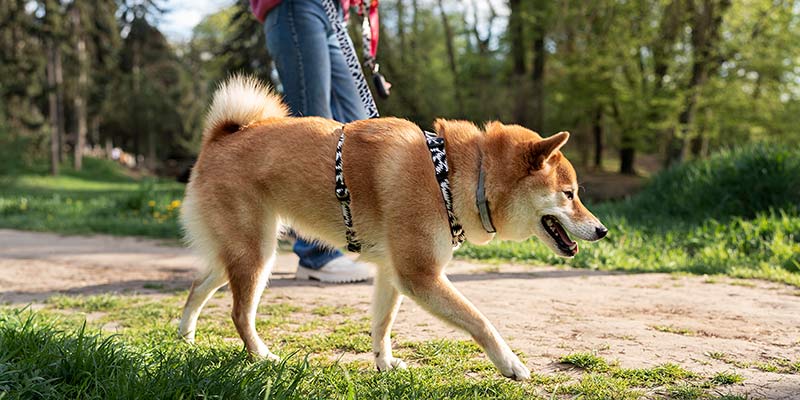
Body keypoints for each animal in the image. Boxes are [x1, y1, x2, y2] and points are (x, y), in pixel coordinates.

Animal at [180, 76, 608, 382]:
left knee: (198, 287)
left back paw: (185, 338)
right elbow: (479, 319)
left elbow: (382, 325)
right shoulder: (419, 275)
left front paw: (383, 364)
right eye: (569, 194)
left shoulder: (392, 273)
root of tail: (221, 136)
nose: (603, 230)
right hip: (257, 254)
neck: (452, 177)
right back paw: (262, 357)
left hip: (245, 252)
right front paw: (511, 363)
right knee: (239, 313)